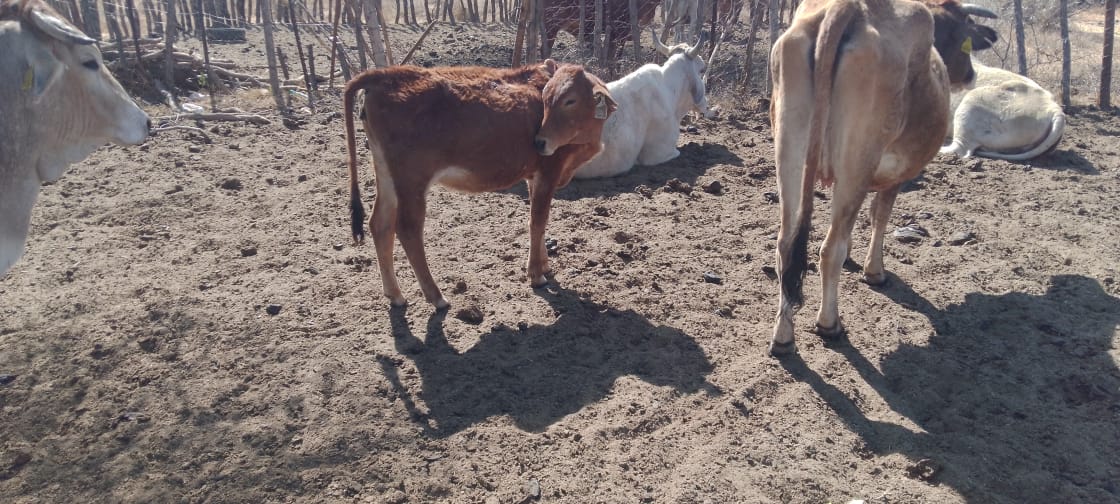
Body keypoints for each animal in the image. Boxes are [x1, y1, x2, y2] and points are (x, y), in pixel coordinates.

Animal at [342, 61, 618, 309]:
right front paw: (536, 275)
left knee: (380, 224)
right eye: (547, 98)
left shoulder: (534, 175)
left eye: (570, 100)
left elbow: (539, 222)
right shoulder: (548, 172)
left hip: (387, 175)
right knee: (408, 229)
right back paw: (436, 297)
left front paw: (545, 265)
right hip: (412, 181)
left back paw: (395, 295)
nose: (540, 142)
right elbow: (537, 222)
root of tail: (385, 74)